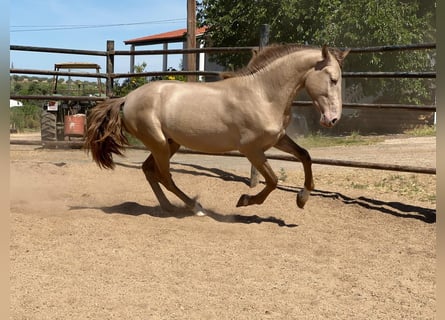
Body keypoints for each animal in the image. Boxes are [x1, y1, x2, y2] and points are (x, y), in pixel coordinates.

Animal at [83, 44, 346, 215]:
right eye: (333, 79)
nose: (332, 119)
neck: (263, 94)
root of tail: (127, 98)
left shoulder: (278, 139)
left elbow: (305, 156)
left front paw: (302, 198)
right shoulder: (251, 149)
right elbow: (272, 180)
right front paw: (245, 200)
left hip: (169, 143)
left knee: (150, 170)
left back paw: (168, 206)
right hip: (159, 143)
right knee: (164, 176)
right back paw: (195, 207)